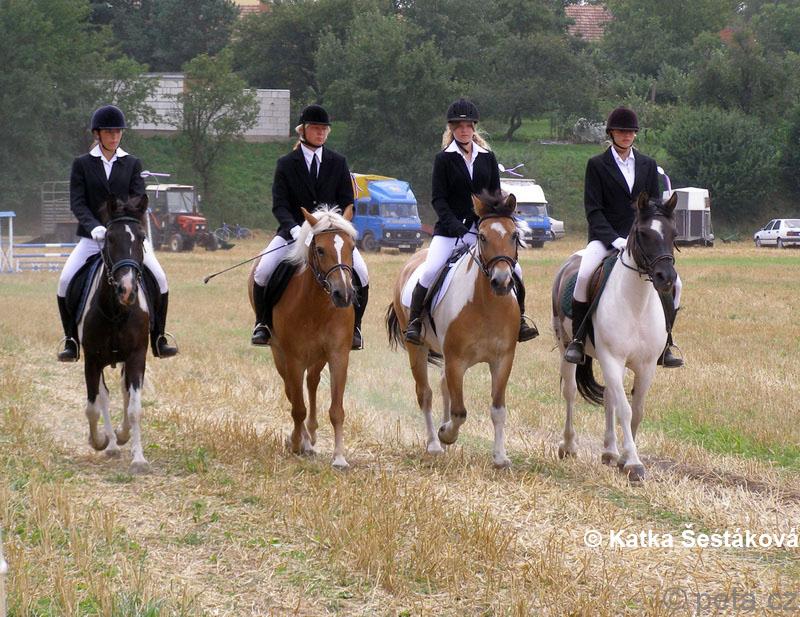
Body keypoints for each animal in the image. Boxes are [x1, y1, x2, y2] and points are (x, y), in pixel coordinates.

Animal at [76, 195, 152, 473]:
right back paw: (109, 444)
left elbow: (134, 407)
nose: (127, 290)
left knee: (123, 393)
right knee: (104, 397)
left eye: (141, 237)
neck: (117, 311)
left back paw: (120, 436)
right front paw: (98, 441)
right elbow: (93, 407)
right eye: (109, 238)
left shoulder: (136, 357)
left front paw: (138, 457)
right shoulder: (92, 359)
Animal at [249, 205, 357, 469]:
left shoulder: (338, 355)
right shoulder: (293, 357)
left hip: (318, 356)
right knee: (292, 390)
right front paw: (298, 443)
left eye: (352, 247)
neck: (317, 304)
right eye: (320, 249)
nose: (343, 295)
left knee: (312, 382)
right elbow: (297, 406)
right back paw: (304, 440)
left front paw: (339, 457)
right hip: (279, 354)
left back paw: (312, 433)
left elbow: (337, 409)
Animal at [386, 191, 524, 467]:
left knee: (442, 388)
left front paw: (500, 457)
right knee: (425, 393)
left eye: (514, 235)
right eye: (483, 237)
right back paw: (434, 444)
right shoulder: (456, 361)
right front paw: (446, 435)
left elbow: (498, 410)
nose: (502, 282)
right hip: (417, 349)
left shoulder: (503, 360)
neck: (487, 304)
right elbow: (460, 412)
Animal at [551, 192, 678, 482]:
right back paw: (569, 446)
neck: (636, 304)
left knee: (609, 397)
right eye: (643, 233)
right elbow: (625, 408)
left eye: (674, 233)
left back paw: (609, 451)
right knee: (570, 392)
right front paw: (632, 463)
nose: (666, 278)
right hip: (567, 347)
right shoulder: (613, 358)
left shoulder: (646, 366)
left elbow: (636, 409)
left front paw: (622, 457)